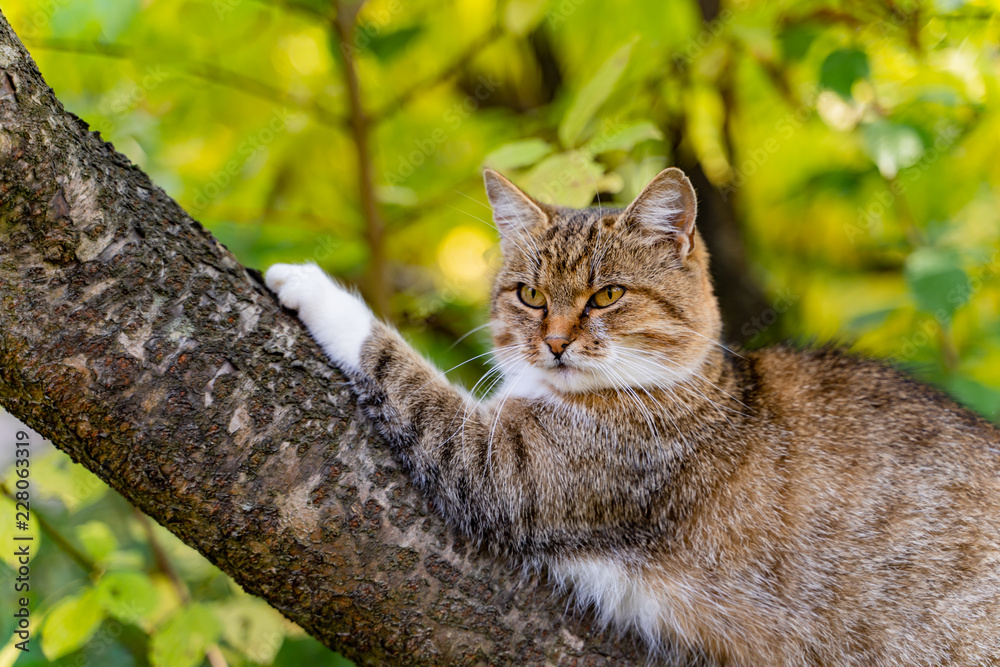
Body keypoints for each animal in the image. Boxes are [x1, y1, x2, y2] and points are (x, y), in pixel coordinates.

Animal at [264, 168, 1000, 667]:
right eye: (530, 295)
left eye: (607, 295)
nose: (555, 343)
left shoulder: (504, 468)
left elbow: (402, 367)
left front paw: (311, 284)